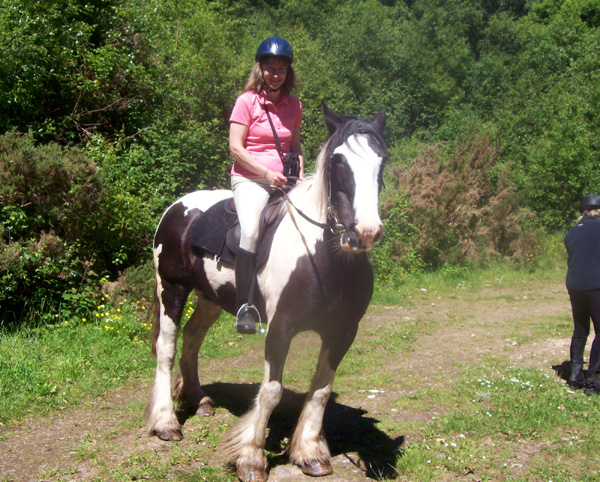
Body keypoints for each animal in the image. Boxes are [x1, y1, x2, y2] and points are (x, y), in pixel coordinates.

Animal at [148, 103, 386, 480]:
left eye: (382, 160)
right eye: (337, 162)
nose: (364, 232)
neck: (324, 258)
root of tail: (177, 208)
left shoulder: (343, 332)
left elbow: (321, 391)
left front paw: (310, 453)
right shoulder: (280, 329)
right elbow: (272, 391)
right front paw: (250, 458)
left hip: (210, 298)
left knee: (192, 338)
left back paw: (199, 400)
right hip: (171, 289)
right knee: (166, 348)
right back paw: (166, 422)